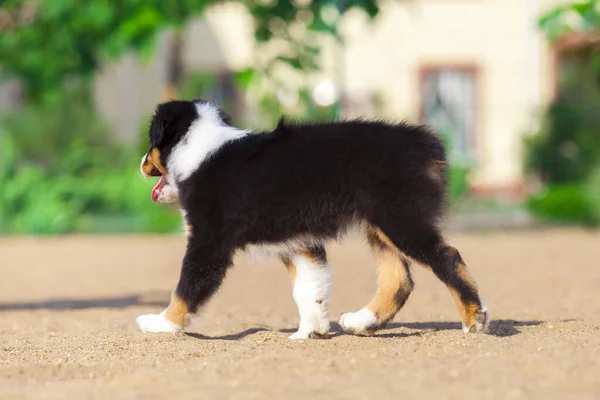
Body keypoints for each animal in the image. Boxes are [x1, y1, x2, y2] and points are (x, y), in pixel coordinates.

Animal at [135, 98, 488, 340]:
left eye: (151, 143)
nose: (140, 163)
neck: (195, 146)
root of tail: (424, 141)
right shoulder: (300, 243)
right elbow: (308, 287)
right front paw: (311, 331)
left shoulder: (208, 242)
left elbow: (186, 286)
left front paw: (161, 323)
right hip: (380, 225)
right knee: (398, 280)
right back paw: (360, 321)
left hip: (400, 219)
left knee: (447, 256)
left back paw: (474, 319)